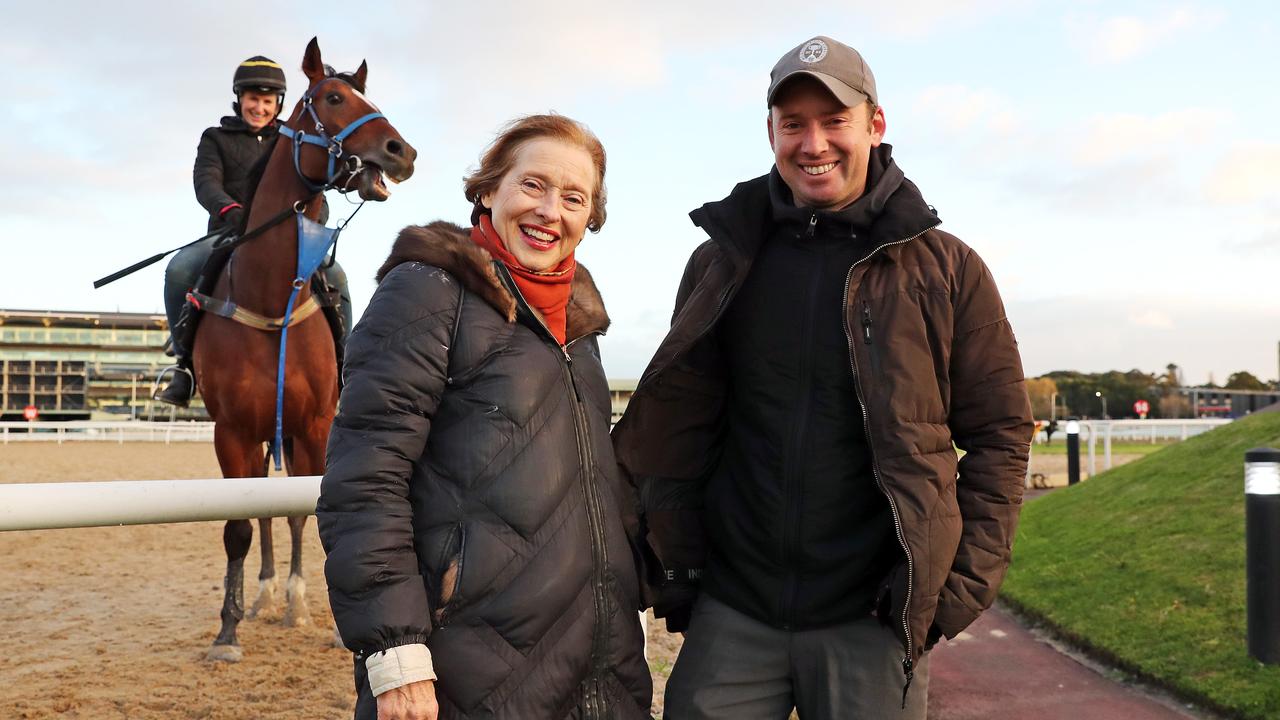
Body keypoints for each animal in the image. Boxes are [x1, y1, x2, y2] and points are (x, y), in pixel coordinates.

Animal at [192, 36, 417, 661]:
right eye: (334, 98)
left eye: (371, 97)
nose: (402, 151)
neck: (272, 302)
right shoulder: (231, 432)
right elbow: (239, 527)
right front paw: (228, 629)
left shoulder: (316, 424)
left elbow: (307, 514)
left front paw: (312, 610)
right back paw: (263, 596)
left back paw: (286, 598)